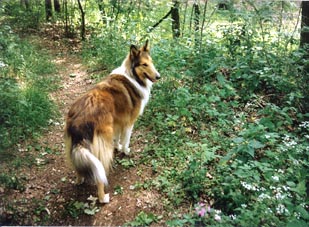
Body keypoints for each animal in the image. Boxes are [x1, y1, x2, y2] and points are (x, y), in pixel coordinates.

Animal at [64, 40, 161, 204]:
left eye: (151, 62)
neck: (133, 76)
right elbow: (126, 140)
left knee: (78, 166)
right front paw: (126, 151)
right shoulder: (129, 123)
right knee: (99, 174)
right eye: (144, 64)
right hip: (102, 147)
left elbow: (117, 139)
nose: (158, 76)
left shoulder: (117, 122)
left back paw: (79, 180)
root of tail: (79, 120)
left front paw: (118, 147)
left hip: (75, 145)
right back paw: (103, 197)